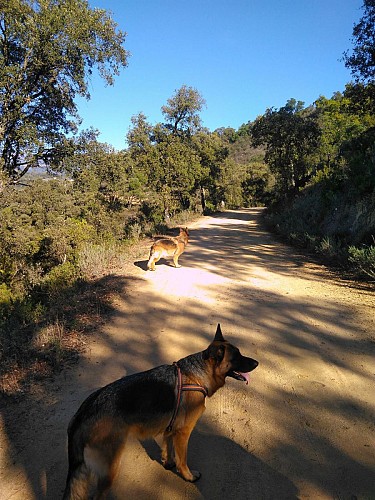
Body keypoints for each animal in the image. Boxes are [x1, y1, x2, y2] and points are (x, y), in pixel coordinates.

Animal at [63, 326, 260, 498]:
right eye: (237, 357)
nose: (257, 363)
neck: (196, 376)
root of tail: (82, 414)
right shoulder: (183, 433)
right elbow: (182, 460)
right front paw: (188, 476)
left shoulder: (171, 429)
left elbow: (168, 448)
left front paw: (167, 463)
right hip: (110, 468)